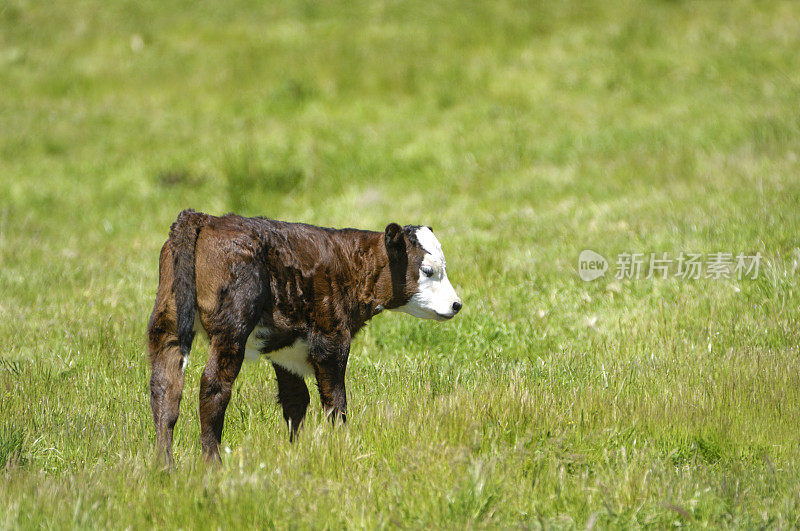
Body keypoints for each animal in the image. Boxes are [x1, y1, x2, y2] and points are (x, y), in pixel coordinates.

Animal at [145, 210, 462, 464]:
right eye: (428, 270)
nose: (457, 304)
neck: (351, 266)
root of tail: (207, 218)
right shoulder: (331, 342)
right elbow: (335, 401)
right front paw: (340, 448)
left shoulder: (286, 350)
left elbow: (296, 401)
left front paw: (294, 454)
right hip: (232, 327)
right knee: (213, 387)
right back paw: (213, 464)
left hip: (168, 325)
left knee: (165, 388)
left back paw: (164, 467)